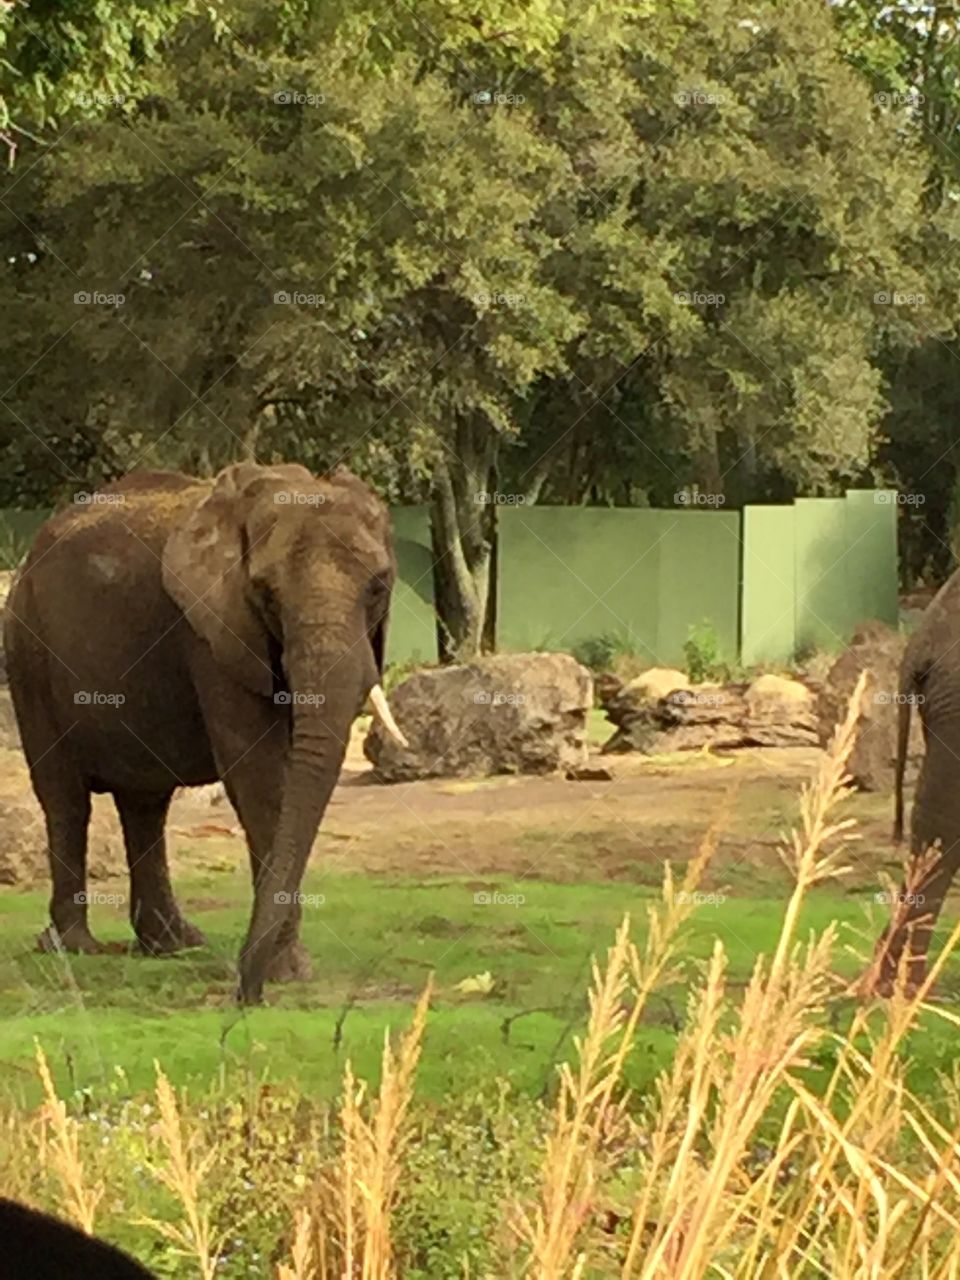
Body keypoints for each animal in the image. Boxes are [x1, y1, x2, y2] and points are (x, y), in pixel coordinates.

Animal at [3, 462, 407, 1004]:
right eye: (265, 594)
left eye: (379, 586)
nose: (244, 993)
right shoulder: (213, 635)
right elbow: (260, 776)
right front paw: (287, 972)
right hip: (27, 654)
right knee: (66, 799)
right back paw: (77, 947)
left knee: (144, 805)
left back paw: (173, 944)